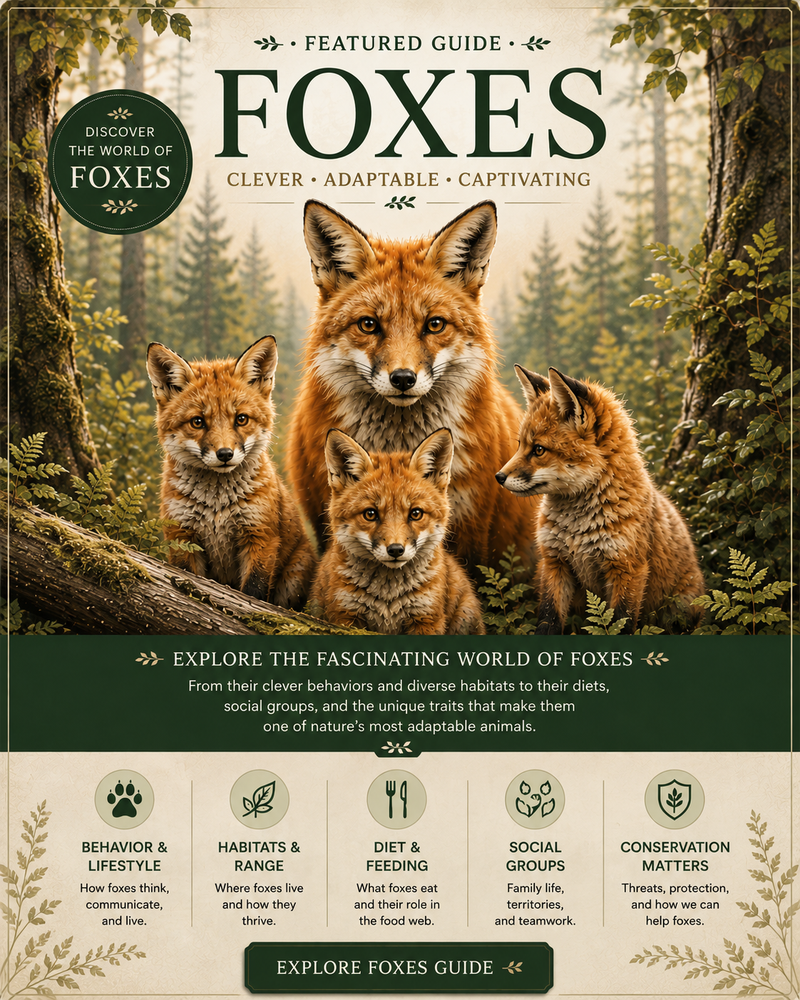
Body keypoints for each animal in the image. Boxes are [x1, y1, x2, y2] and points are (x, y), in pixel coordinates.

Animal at [146, 336, 316, 609]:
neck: (217, 506)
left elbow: (253, 593)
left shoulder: (260, 537)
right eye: (197, 422)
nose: (224, 454)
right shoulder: (182, 537)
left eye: (241, 419)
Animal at [287, 200, 537, 575]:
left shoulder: (471, 525)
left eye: (434, 324)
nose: (403, 378)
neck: (397, 446)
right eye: (368, 324)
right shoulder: (324, 514)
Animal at [310, 428, 485, 635]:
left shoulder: (426, 617)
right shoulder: (345, 614)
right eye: (370, 514)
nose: (395, 550)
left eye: (416, 513)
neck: (388, 599)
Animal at [496, 365, 704, 633]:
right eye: (520, 445)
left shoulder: (627, 571)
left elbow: (620, 624)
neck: (576, 529)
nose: (498, 477)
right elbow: (548, 618)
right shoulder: (554, 563)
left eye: (539, 450)